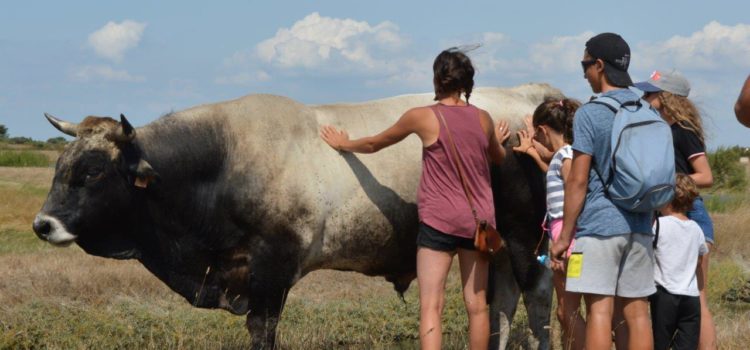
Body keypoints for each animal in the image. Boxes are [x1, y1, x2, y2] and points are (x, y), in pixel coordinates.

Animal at [33, 83, 564, 348]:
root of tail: (532, 95)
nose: (43, 224)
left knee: (537, 302)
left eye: (93, 171)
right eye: (61, 166)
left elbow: (262, 330)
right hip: (494, 247)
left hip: (524, 239)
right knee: (501, 305)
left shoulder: (273, 267)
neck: (223, 161)